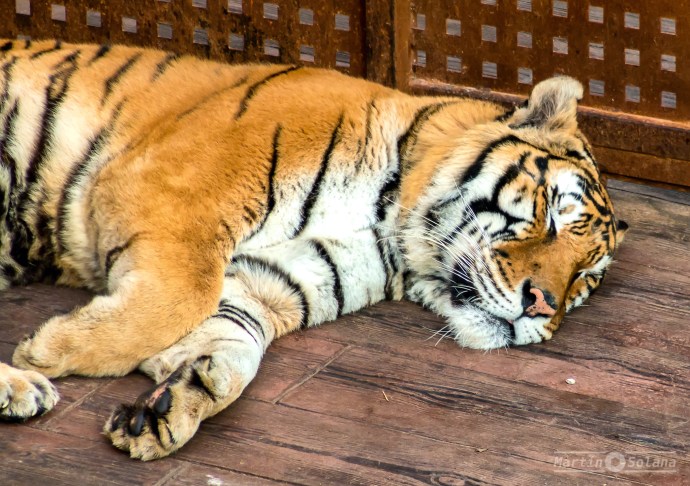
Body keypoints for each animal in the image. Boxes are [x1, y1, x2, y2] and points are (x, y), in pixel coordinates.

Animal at [0, 39, 627, 460]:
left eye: (583, 279)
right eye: (550, 212)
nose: (543, 305)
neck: (390, 219)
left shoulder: (278, 275)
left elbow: (232, 343)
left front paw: (169, 406)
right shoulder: (167, 189)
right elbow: (182, 294)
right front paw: (50, 350)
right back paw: (26, 382)